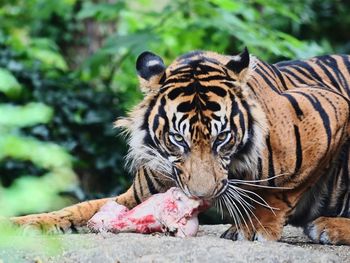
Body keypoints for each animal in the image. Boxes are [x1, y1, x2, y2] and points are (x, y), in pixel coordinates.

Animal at [10, 48, 350, 248]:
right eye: (177, 139)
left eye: (222, 138)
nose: (200, 196)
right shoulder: (135, 196)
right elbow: (79, 208)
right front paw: (23, 222)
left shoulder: (328, 111)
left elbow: (282, 192)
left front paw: (253, 226)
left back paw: (327, 227)